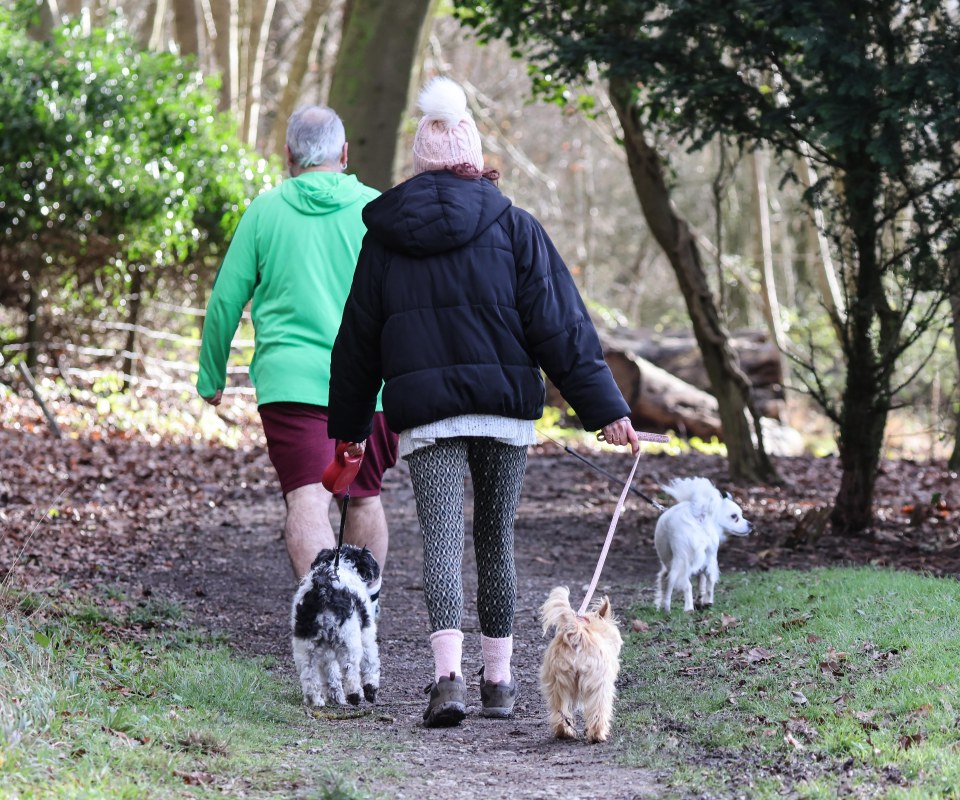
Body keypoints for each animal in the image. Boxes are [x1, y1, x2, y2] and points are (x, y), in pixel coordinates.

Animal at [290, 544, 380, 708]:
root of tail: (324, 589)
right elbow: (370, 662)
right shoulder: (367, 635)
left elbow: (331, 672)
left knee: (309, 674)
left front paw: (335, 695)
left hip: (305, 646)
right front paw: (371, 689)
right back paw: (355, 695)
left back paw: (315, 700)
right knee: (350, 668)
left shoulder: (326, 653)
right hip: (348, 639)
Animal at [656, 476, 752, 612]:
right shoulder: (703, 563)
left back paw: (688, 609)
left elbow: (667, 586)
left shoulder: (671, 566)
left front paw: (665, 607)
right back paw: (708, 602)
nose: (751, 525)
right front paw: (700, 600)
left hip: (682, 562)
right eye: (735, 516)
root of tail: (699, 516)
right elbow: (701, 582)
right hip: (710, 558)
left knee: (686, 585)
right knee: (710, 580)